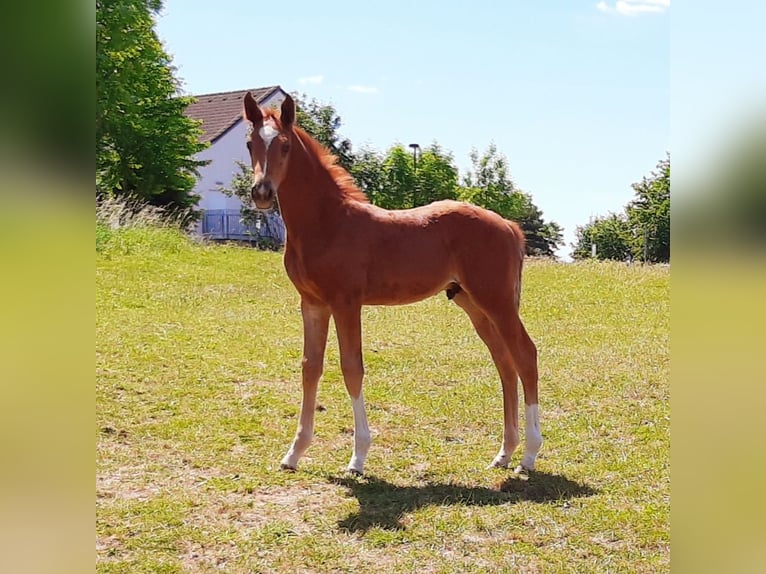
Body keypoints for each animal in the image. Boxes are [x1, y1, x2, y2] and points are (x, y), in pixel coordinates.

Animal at [243, 93, 544, 476]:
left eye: (283, 145)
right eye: (250, 143)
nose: (262, 192)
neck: (327, 222)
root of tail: (509, 226)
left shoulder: (345, 302)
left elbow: (351, 368)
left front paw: (358, 458)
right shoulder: (312, 303)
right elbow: (310, 368)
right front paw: (294, 454)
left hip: (497, 301)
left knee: (525, 355)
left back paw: (529, 455)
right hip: (472, 304)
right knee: (504, 362)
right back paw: (504, 452)